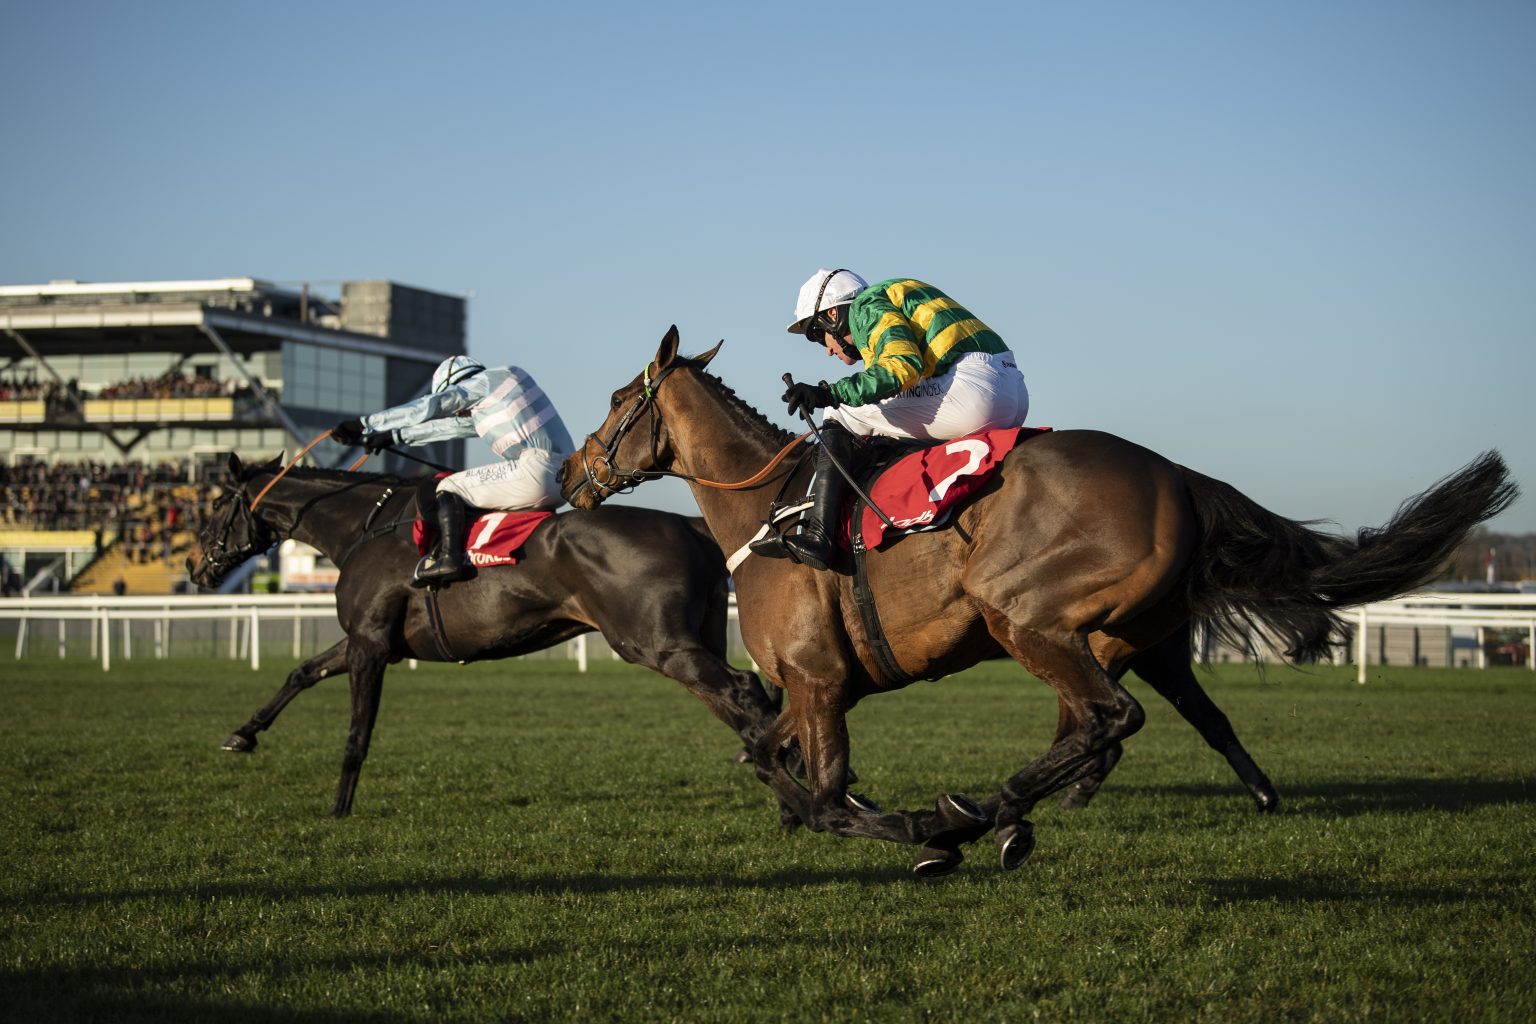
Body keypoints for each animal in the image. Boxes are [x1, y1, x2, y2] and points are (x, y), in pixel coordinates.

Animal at [190, 452, 784, 818]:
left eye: (214, 505)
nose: (197, 569)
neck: (365, 527)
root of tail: (691, 524)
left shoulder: (371, 643)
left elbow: (357, 731)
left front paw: (338, 806)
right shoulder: (368, 639)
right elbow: (302, 671)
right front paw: (242, 734)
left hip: (655, 643)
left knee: (744, 691)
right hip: (696, 635)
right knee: (748, 698)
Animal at [558, 327, 1516, 875]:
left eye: (615, 399)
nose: (571, 473)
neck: (769, 510)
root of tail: (1177, 475)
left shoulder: (819, 679)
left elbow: (827, 794)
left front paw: (921, 832)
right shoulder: (806, 686)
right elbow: (764, 753)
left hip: (1021, 611)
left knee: (1109, 718)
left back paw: (983, 811)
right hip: (1103, 632)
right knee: (1103, 721)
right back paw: (1025, 813)